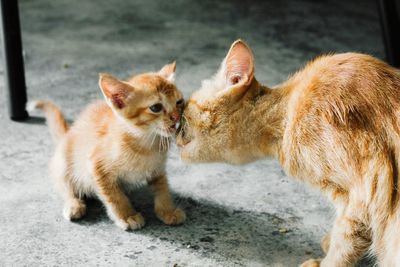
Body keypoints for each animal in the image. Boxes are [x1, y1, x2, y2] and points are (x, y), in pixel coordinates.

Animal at [31, 62, 186, 230]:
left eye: (179, 102)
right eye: (156, 107)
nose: (176, 118)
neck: (146, 142)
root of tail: (67, 134)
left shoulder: (158, 169)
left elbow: (163, 189)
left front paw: (167, 211)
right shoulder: (96, 167)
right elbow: (114, 196)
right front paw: (127, 215)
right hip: (63, 165)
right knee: (64, 187)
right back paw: (73, 204)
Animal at [177, 40, 400, 266]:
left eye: (184, 112)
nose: (175, 132)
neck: (285, 119)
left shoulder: (362, 192)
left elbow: (345, 240)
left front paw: (325, 260)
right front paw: (329, 241)